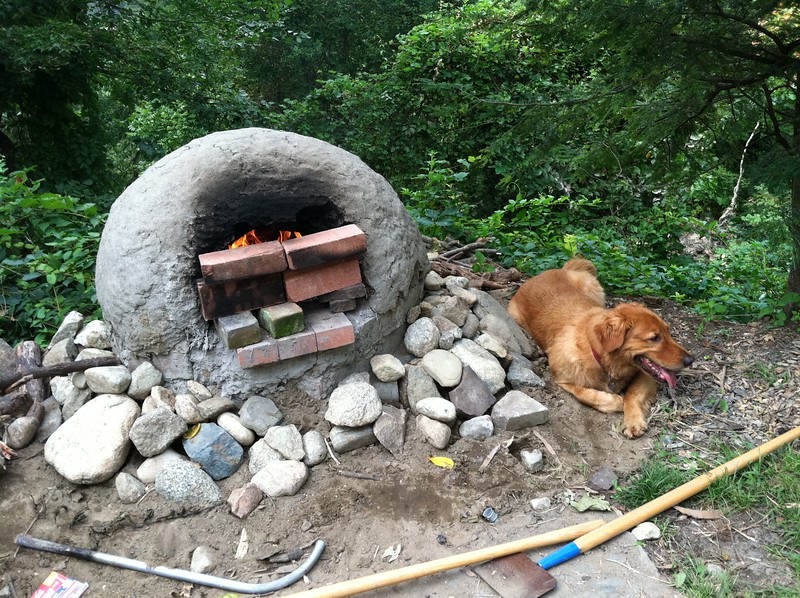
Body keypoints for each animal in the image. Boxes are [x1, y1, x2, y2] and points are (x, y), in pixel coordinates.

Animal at [512, 258, 692, 440]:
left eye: (668, 332)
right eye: (654, 338)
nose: (691, 360)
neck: (601, 357)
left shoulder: (646, 374)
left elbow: (632, 393)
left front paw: (633, 420)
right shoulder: (563, 379)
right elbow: (585, 394)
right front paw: (617, 401)